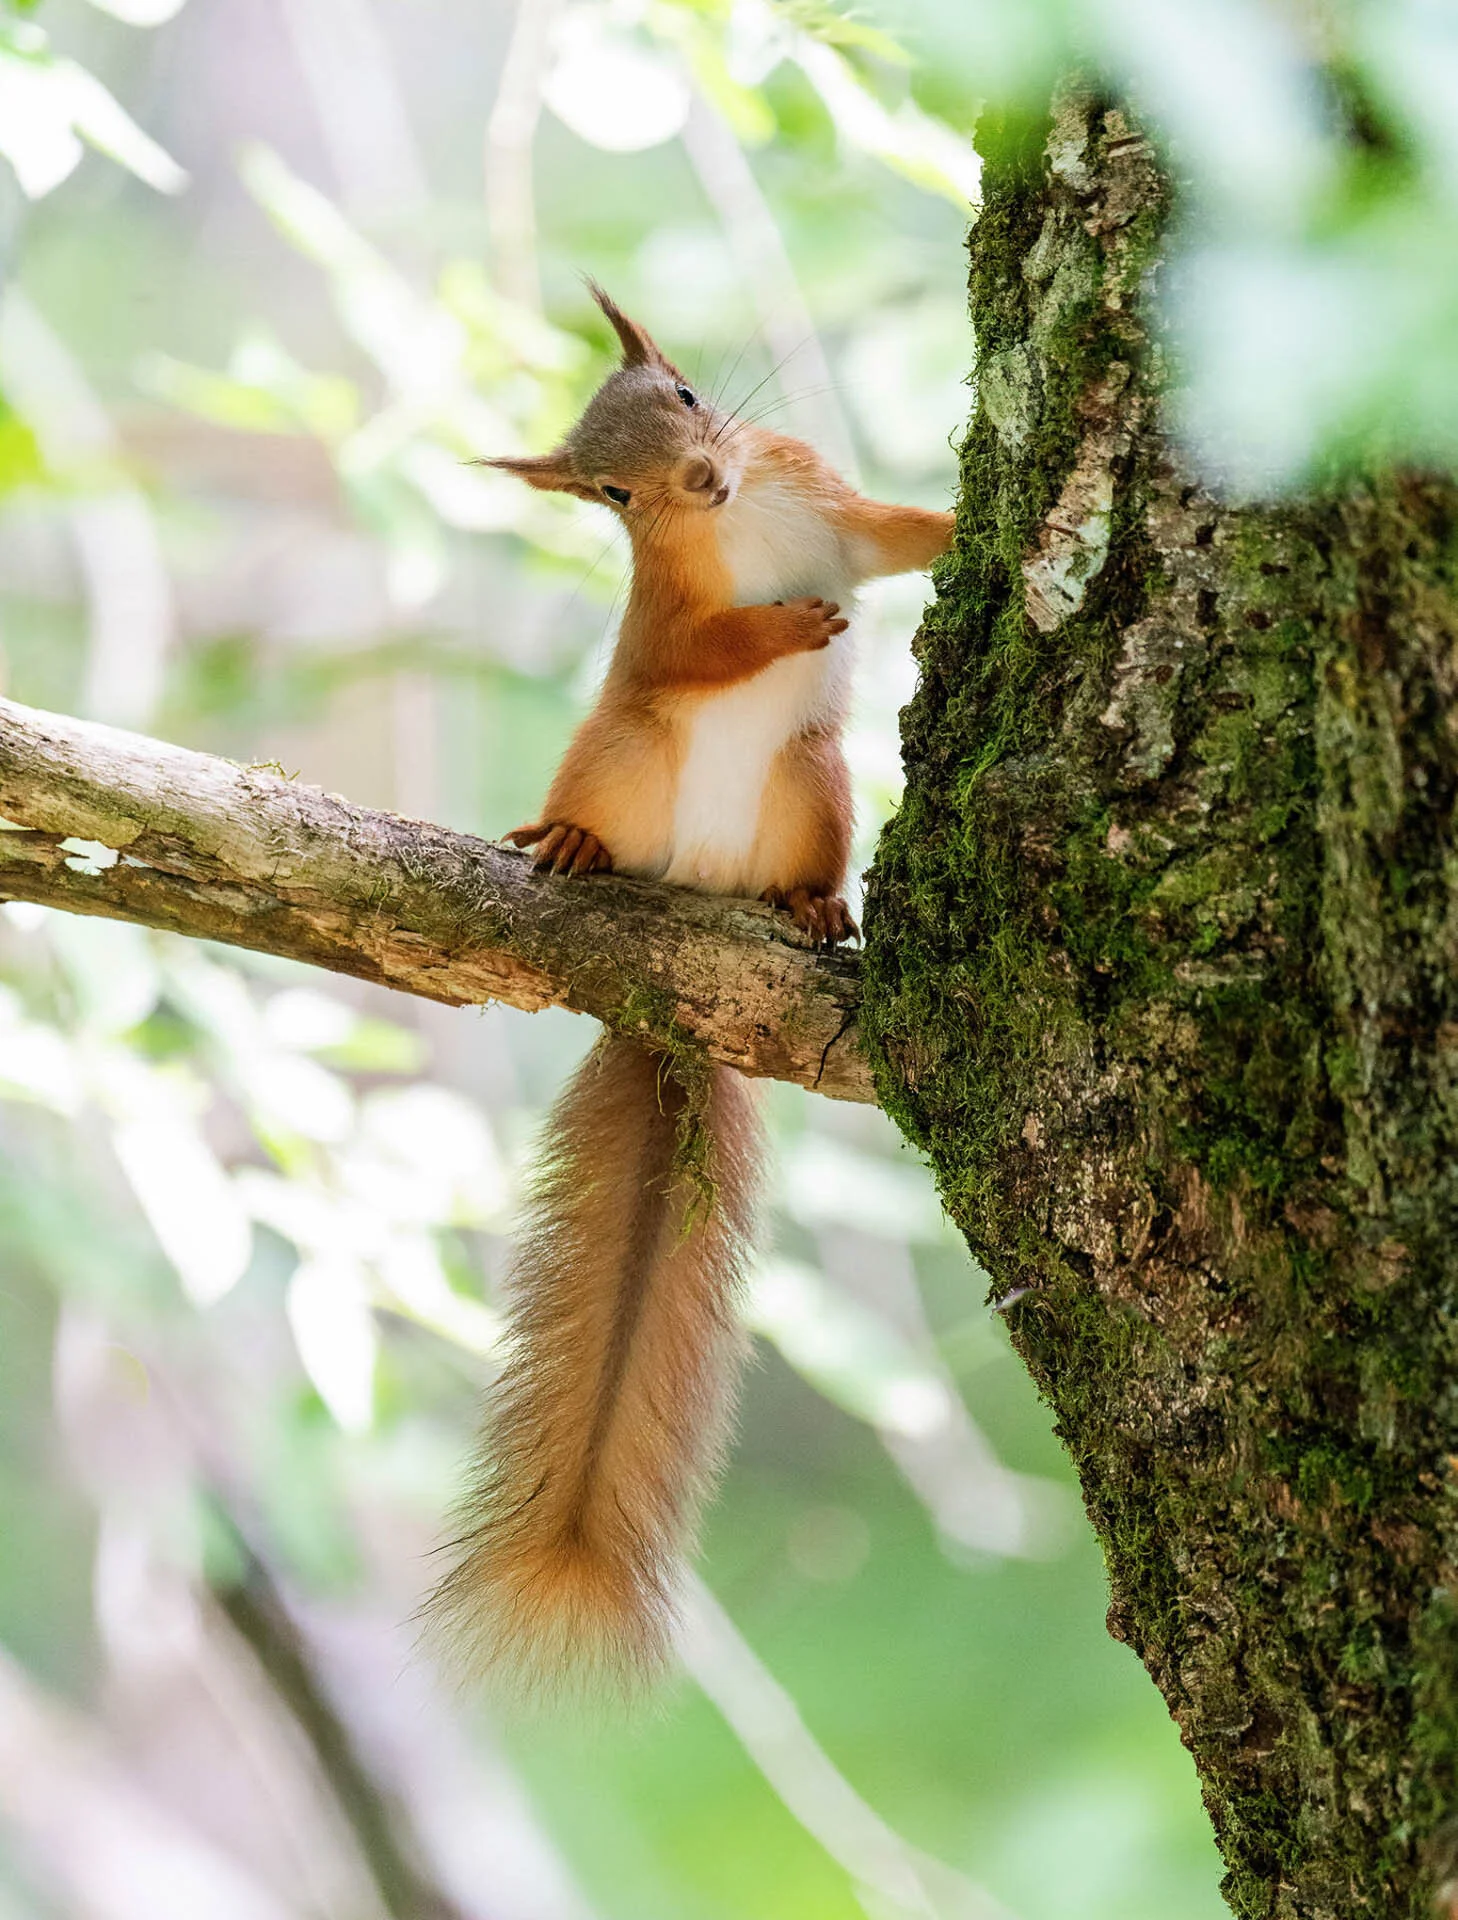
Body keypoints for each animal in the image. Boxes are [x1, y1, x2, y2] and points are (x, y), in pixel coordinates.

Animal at [430, 285, 953, 1686]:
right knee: (612, 767)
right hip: (621, 746)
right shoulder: (667, 616)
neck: (741, 520)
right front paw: (783, 626)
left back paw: (815, 906)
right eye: (612, 494)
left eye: (684, 398)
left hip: (814, 782)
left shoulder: (829, 505)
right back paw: (567, 842)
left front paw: (964, 514)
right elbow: (703, 648)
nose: (703, 483)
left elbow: (900, 537)